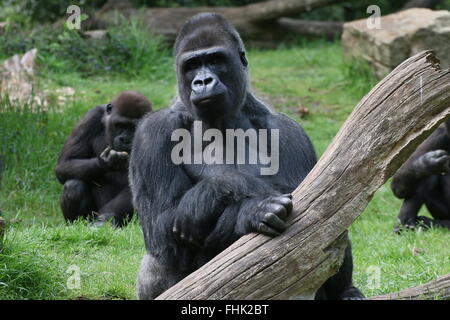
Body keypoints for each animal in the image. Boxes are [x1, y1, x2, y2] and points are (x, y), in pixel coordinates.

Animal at [54, 90, 152, 228]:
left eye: (133, 127)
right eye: (120, 125)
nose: (125, 140)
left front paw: (105, 219)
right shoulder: (91, 117)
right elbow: (65, 163)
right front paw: (107, 163)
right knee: (73, 186)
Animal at [128, 13, 364, 300]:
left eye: (215, 60)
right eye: (192, 65)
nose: (203, 81)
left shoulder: (288, 130)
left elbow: (318, 203)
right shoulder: (152, 132)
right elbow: (161, 225)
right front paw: (246, 205)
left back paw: (346, 291)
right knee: (159, 256)